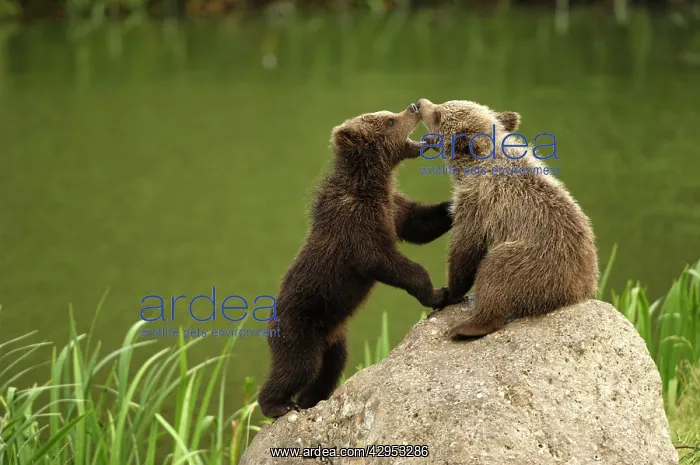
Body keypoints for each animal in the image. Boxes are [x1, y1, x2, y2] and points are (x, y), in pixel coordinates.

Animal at [257, 103, 453, 419]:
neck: (370, 185)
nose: (412, 106)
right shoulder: (357, 225)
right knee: (296, 367)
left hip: (335, 338)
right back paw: (279, 404)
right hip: (301, 328)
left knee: (329, 369)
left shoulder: (393, 209)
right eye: (389, 120)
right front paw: (438, 293)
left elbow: (420, 223)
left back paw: (312, 400)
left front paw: (452, 205)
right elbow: (385, 262)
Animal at [415, 98, 599, 339]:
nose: (420, 103)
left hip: (537, 262)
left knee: (495, 273)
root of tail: (578, 294)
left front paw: (450, 294)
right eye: (442, 104)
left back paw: (465, 328)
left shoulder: (478, 202)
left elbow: (466, 247)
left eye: (437, 115)